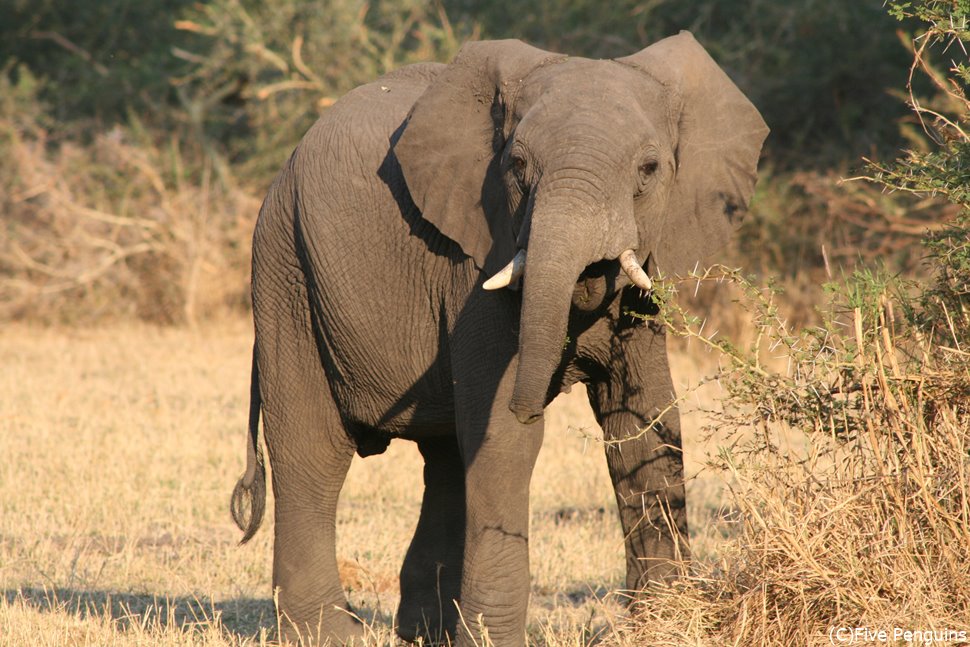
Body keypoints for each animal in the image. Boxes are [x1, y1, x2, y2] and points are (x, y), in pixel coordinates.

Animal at [231, 31, 768, 647]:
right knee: (313, 453)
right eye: (517, 165)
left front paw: (663, 622)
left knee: (443, 456)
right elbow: (505, 442)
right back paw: (325, 634)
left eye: (650, 169)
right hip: (285, 270)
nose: (543, 393)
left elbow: (646, 421)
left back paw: (425, 631)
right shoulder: (477, 256)